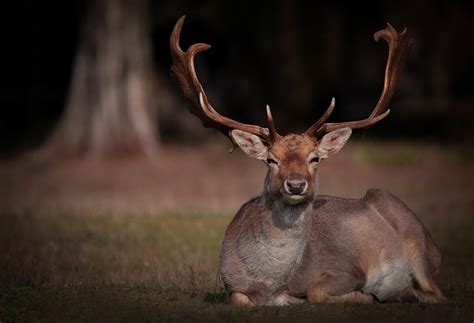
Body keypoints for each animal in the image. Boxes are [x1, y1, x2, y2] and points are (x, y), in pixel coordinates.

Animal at [172, 15, 446, 306]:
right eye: (271, 160)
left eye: (315, 158)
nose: (295, 185)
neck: (269, 284)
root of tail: (437, 251)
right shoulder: (231, 285)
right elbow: (238, 298)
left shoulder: (348, 269)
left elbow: (316, 292)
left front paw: (366, 295)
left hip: (413, 237)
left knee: (437, 293)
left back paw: (407, 293)